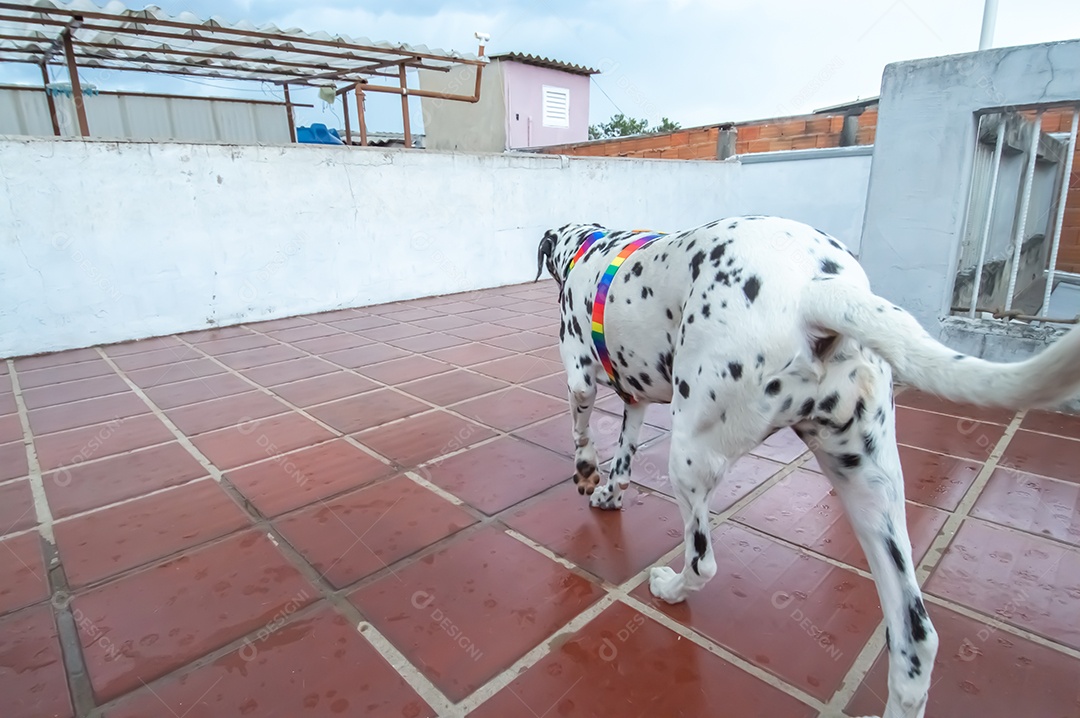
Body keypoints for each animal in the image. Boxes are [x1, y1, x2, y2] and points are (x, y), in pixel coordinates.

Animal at [540, 213, 1080, 716]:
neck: (591, 246)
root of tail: (814, 290)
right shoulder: (634, 400)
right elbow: (624, 455)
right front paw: (610, 490)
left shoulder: (580, 378)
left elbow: (583, 432)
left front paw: (586, 472)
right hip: (870, 491)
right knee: (917, 639)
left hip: (691, 455)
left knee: (702, 561)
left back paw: (670, 588)